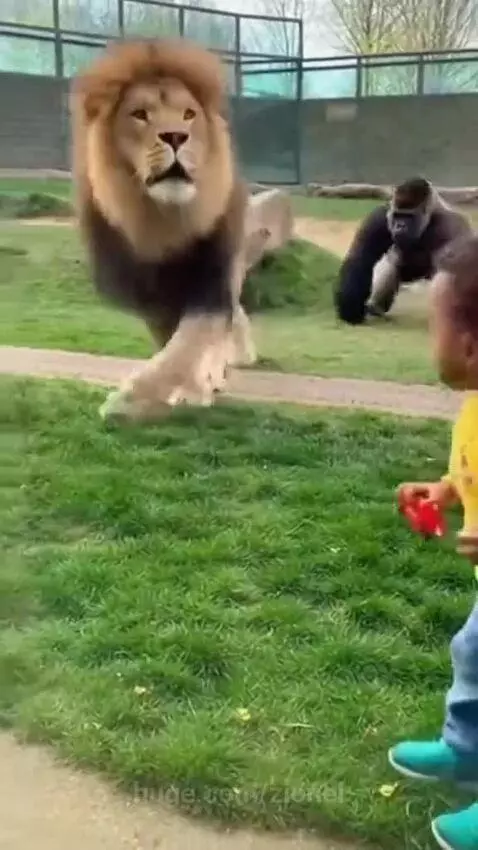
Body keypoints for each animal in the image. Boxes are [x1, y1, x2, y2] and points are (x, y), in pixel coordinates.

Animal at [70, 37, 256, 423]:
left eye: (188, 115)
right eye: (140, 114)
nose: (175, 136)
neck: (163, 220)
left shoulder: (212, 281)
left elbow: (187, 344)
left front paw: (128, 401)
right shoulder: (150, 299)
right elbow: (170, 347)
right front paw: (176, 392)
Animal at [334, 177, 472, 325]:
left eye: (409, 216)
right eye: (398, 215)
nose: (400, 226)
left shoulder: (455, 227)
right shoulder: (380, 216)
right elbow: (361, 258)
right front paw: (350, 309)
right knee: (390, 263)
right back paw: (376, 307)